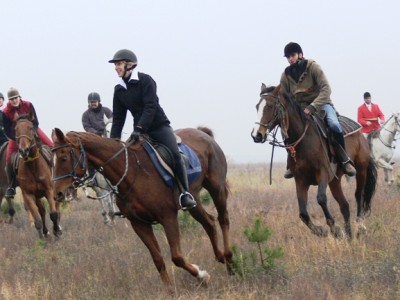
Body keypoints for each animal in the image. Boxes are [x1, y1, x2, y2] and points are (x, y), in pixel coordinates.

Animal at [50, 126, 231, 292]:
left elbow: (177, 257)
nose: (57, 194)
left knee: (223, 219)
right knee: (209, 223)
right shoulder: (139, 223)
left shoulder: (168, 217)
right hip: (194, 200)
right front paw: (170, 291)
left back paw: (229, 260)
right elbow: (157, 259)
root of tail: (203, 133)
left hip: (216, 189)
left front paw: (202, 276)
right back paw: (221, 257)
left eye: (64, 158)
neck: (131, 173)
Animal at [252, 84, 376, 239]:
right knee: (344, 206)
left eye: (269, 106)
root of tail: (361, 135)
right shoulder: (300, 180)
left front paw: (335, 229)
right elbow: (303, 213)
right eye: (257, 106)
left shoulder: (322, 173)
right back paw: (348, 236)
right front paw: (321, 230)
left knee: (359, 195)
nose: (256, 135)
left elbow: (321, 199)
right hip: (335, 181)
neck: (303, 141)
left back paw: (360, 226)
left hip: (361, 170)